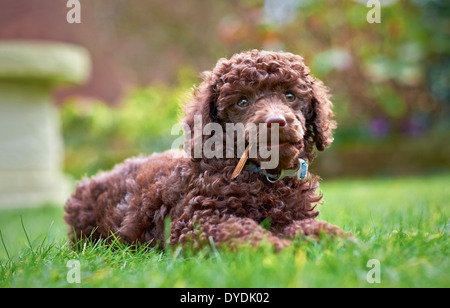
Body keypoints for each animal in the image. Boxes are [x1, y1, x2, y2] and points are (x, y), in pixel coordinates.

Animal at [63, 48, 344, 250]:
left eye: (290, 96)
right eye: (242, 102)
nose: (275, 122)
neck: (265, 178)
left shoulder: (293, 215)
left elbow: (309, 227)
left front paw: (339, 239)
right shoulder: (196, 222)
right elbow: (239, 230)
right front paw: (275, 248)